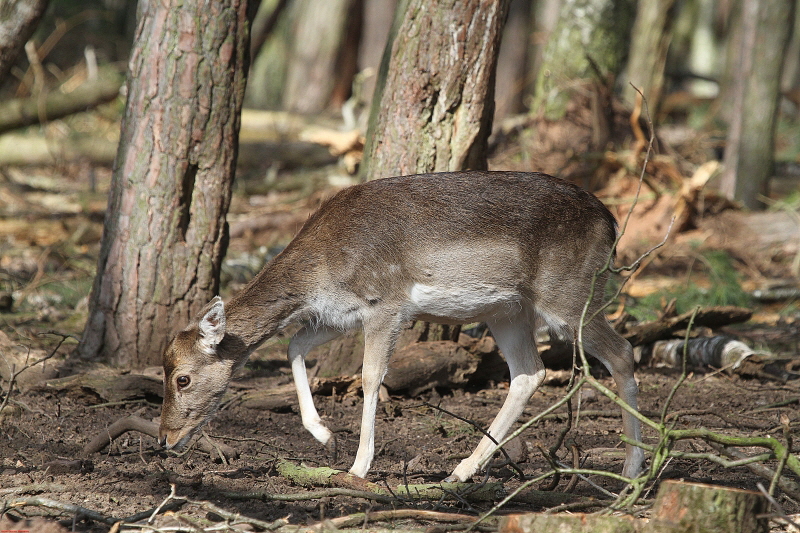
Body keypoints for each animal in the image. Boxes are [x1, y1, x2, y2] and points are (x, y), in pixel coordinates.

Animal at [159, 171, 648, 482]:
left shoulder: (387, 303)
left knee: (622, 351)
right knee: (530, 372)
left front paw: (357, 467)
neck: (323, 268)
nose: (164, 440)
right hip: (507, 310)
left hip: (568, 292)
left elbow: (370, 376)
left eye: (182, 378)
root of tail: (612, 222)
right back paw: (462, 470)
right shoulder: (338, 313)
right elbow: (295, 346)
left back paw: (632, 469)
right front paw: (326, 438)